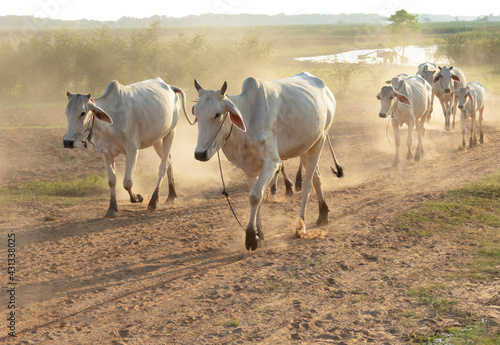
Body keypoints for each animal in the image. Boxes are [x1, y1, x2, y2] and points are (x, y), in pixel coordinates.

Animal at [62, 78, 188, 218]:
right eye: (66, 113)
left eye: (83, 113)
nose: (68, 142)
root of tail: (170, 87)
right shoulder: (107, 153)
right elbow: (112, 181)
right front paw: (112, 208)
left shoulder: (132, 149)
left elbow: (127, 182)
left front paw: (137, 197)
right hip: (157, 139)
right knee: (169, 161)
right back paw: (171, 195)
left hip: (170, 133)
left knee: (163, 166)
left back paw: (154, 201)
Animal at [191, 72, 344, 250]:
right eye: (196, 114)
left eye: (217, 114)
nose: (200, 154)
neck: (248, 119)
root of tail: (325, 88)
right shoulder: (249, 168)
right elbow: (258, 196)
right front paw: (260, 233)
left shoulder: (272, 163)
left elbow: (255, 196)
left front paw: (251, 236)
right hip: (306, 147)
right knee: (317, 178)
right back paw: (323, 213)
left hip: (319, 141)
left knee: (307, 185)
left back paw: (301, 227)